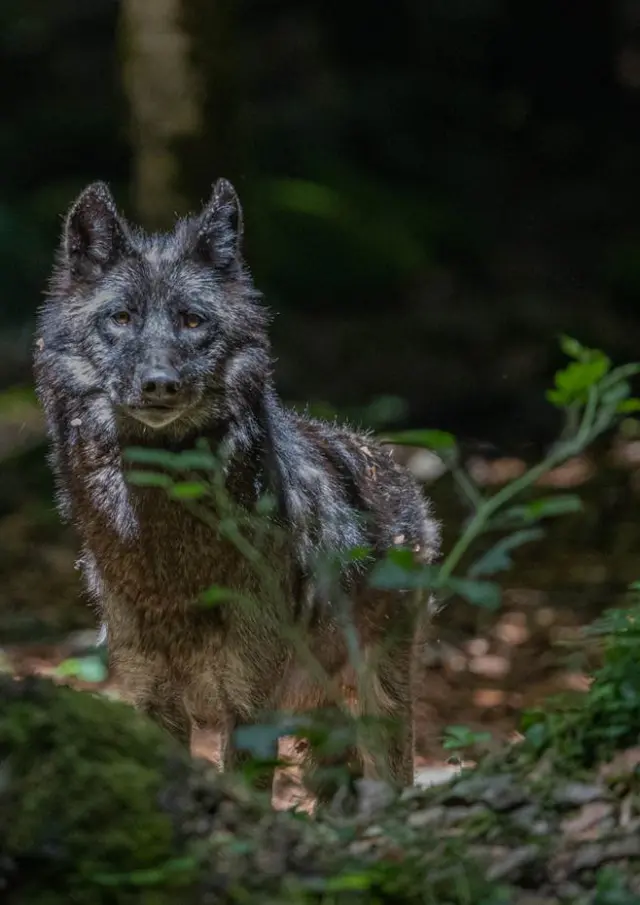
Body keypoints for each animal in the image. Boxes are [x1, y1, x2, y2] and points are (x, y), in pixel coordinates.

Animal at [33, 178, 440, 800]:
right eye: (121, 317)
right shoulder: (151, 697)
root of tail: (396, 471)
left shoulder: (250, 706)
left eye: (192, 321)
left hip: (377, 702)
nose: (159, 384)